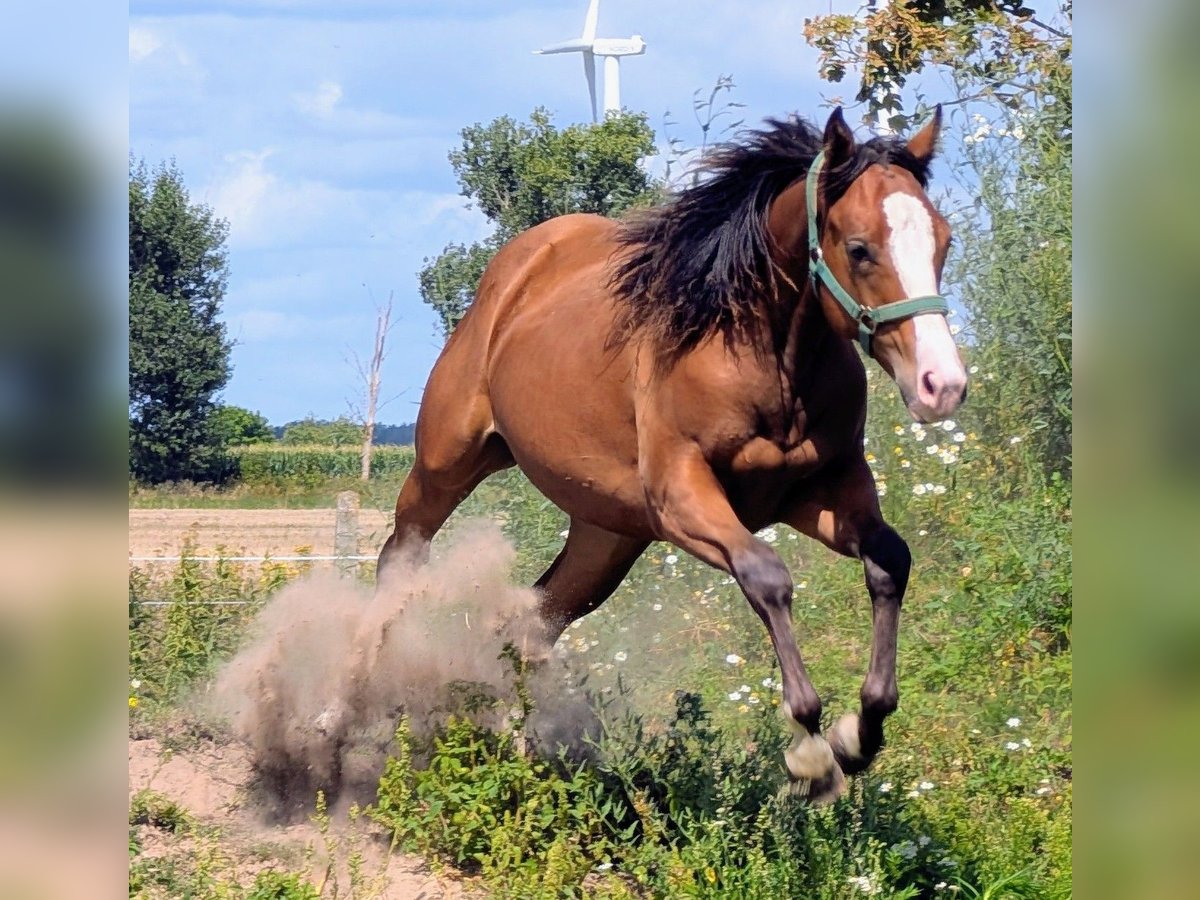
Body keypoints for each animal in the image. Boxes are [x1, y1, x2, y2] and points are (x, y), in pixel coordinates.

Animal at [379, 105, 969, 801]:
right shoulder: (682, 497)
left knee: (532, 621)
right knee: (400, 557)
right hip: (447, 464)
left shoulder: (820, 491)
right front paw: (811, 752)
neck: (761, 356)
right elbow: (767, 577)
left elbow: (890, 562)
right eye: (859, 248)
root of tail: (512, 274)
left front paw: (858, 734)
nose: (941, 384)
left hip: (607, 536)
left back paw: (519, 752)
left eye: (943, 241)